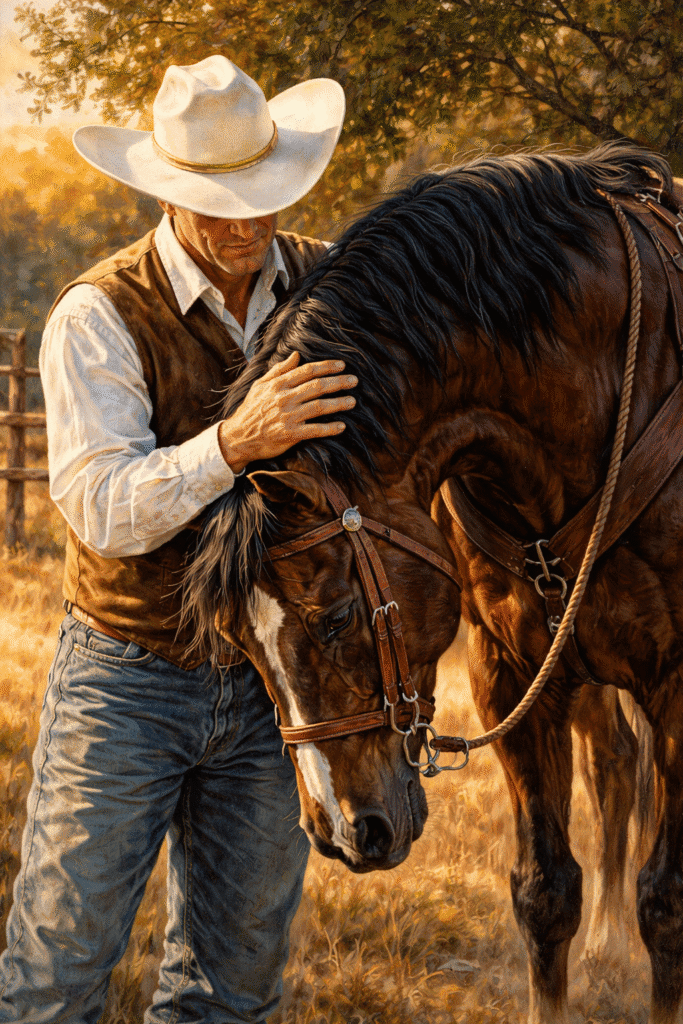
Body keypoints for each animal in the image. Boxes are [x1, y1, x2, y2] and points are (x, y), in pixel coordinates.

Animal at [182, 142, 683, 1023]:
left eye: (336, 617)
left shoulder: (677, 684)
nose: (345, 833)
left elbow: (666, 904)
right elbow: (544, 893)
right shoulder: (513, 677)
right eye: (238, 643)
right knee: (615, 767)